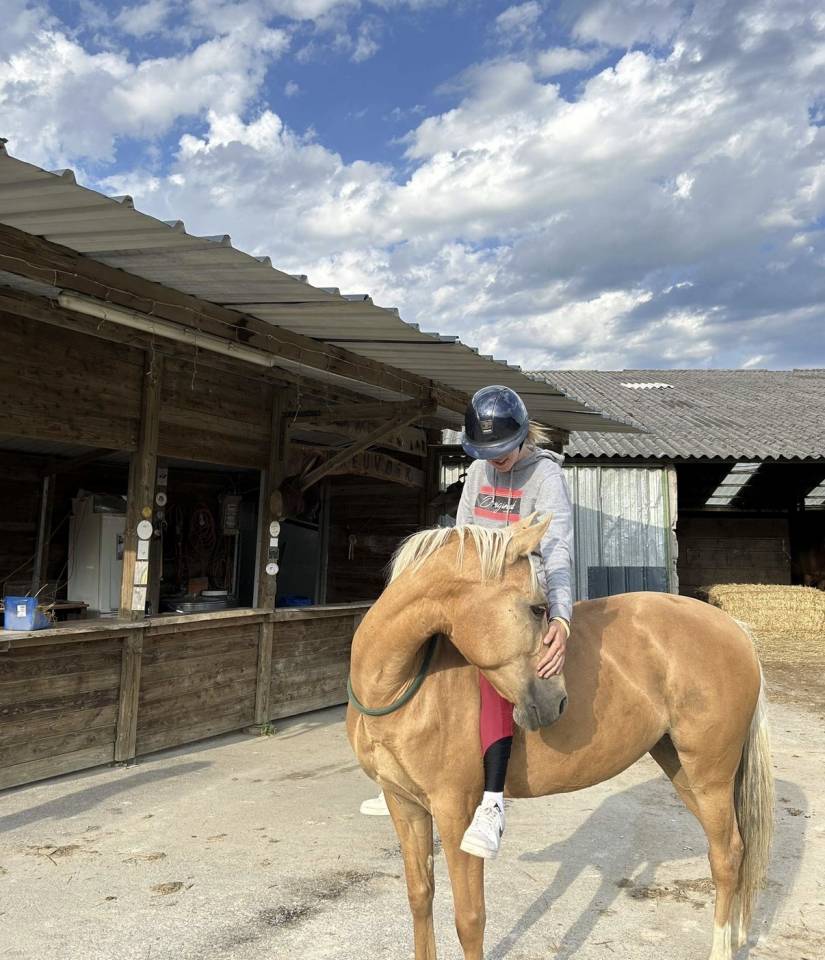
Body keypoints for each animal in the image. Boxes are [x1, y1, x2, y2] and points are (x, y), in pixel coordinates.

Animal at [347, 515, 774, 960]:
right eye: (536, 608)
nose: (558, 701)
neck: (400, 688)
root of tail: (734, 627)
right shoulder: (405, 805)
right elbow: (420, 897)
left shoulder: (454, 811)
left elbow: (469, 920)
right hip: (683, 770)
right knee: (736, 849)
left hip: (710, 776)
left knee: (726, 856)